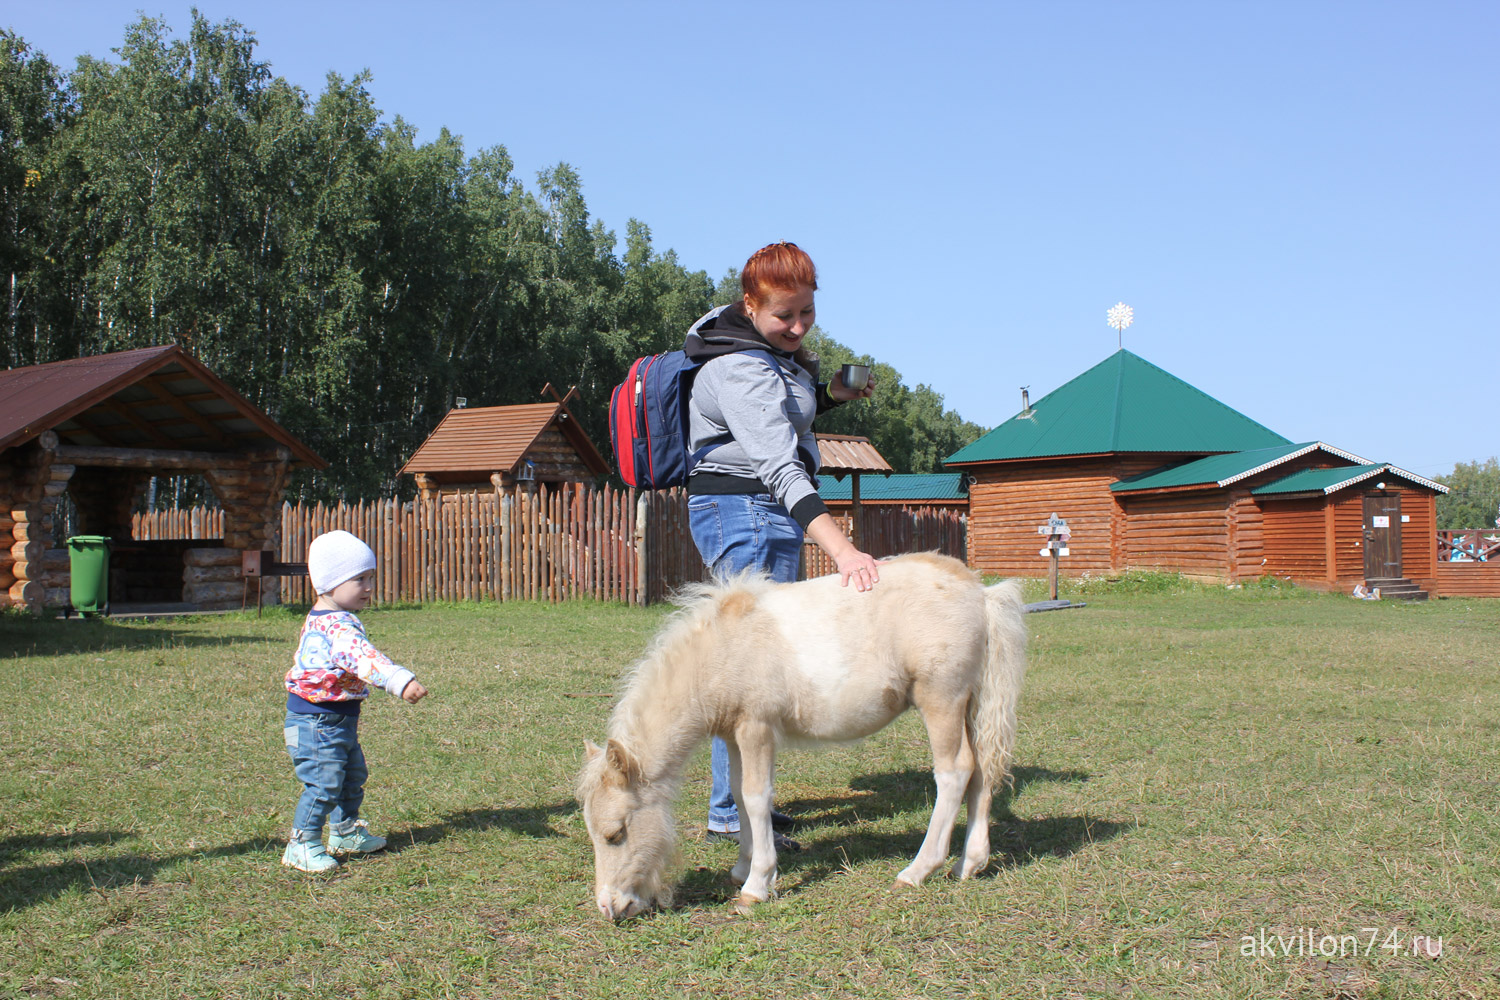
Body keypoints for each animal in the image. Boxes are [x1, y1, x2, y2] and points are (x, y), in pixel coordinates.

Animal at [576, 551, 1032, 917]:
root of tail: (982, 594)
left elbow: (757, 797)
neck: (723, 650)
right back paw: (969, 863)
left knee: (954, 772)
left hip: (941, 699)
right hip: (970, 702)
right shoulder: (733, 733)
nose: (609, 908)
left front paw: (756, 886)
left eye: (615, 834)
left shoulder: (757, 727)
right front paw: (741, 868)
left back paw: (918, 870)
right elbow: (739, 793)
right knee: (982, 769)